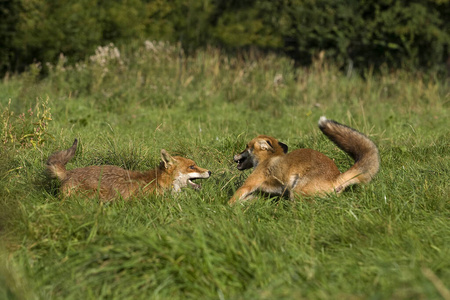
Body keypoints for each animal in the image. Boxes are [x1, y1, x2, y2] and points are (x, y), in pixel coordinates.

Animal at [229, 116, 380, 205]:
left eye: (246, 146)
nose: (235, 156)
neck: (268, 159)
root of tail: (336, 177)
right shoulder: (264, 192)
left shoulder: (249, 184)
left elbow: (232, 200)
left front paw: (227, 210)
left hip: (296, 191)